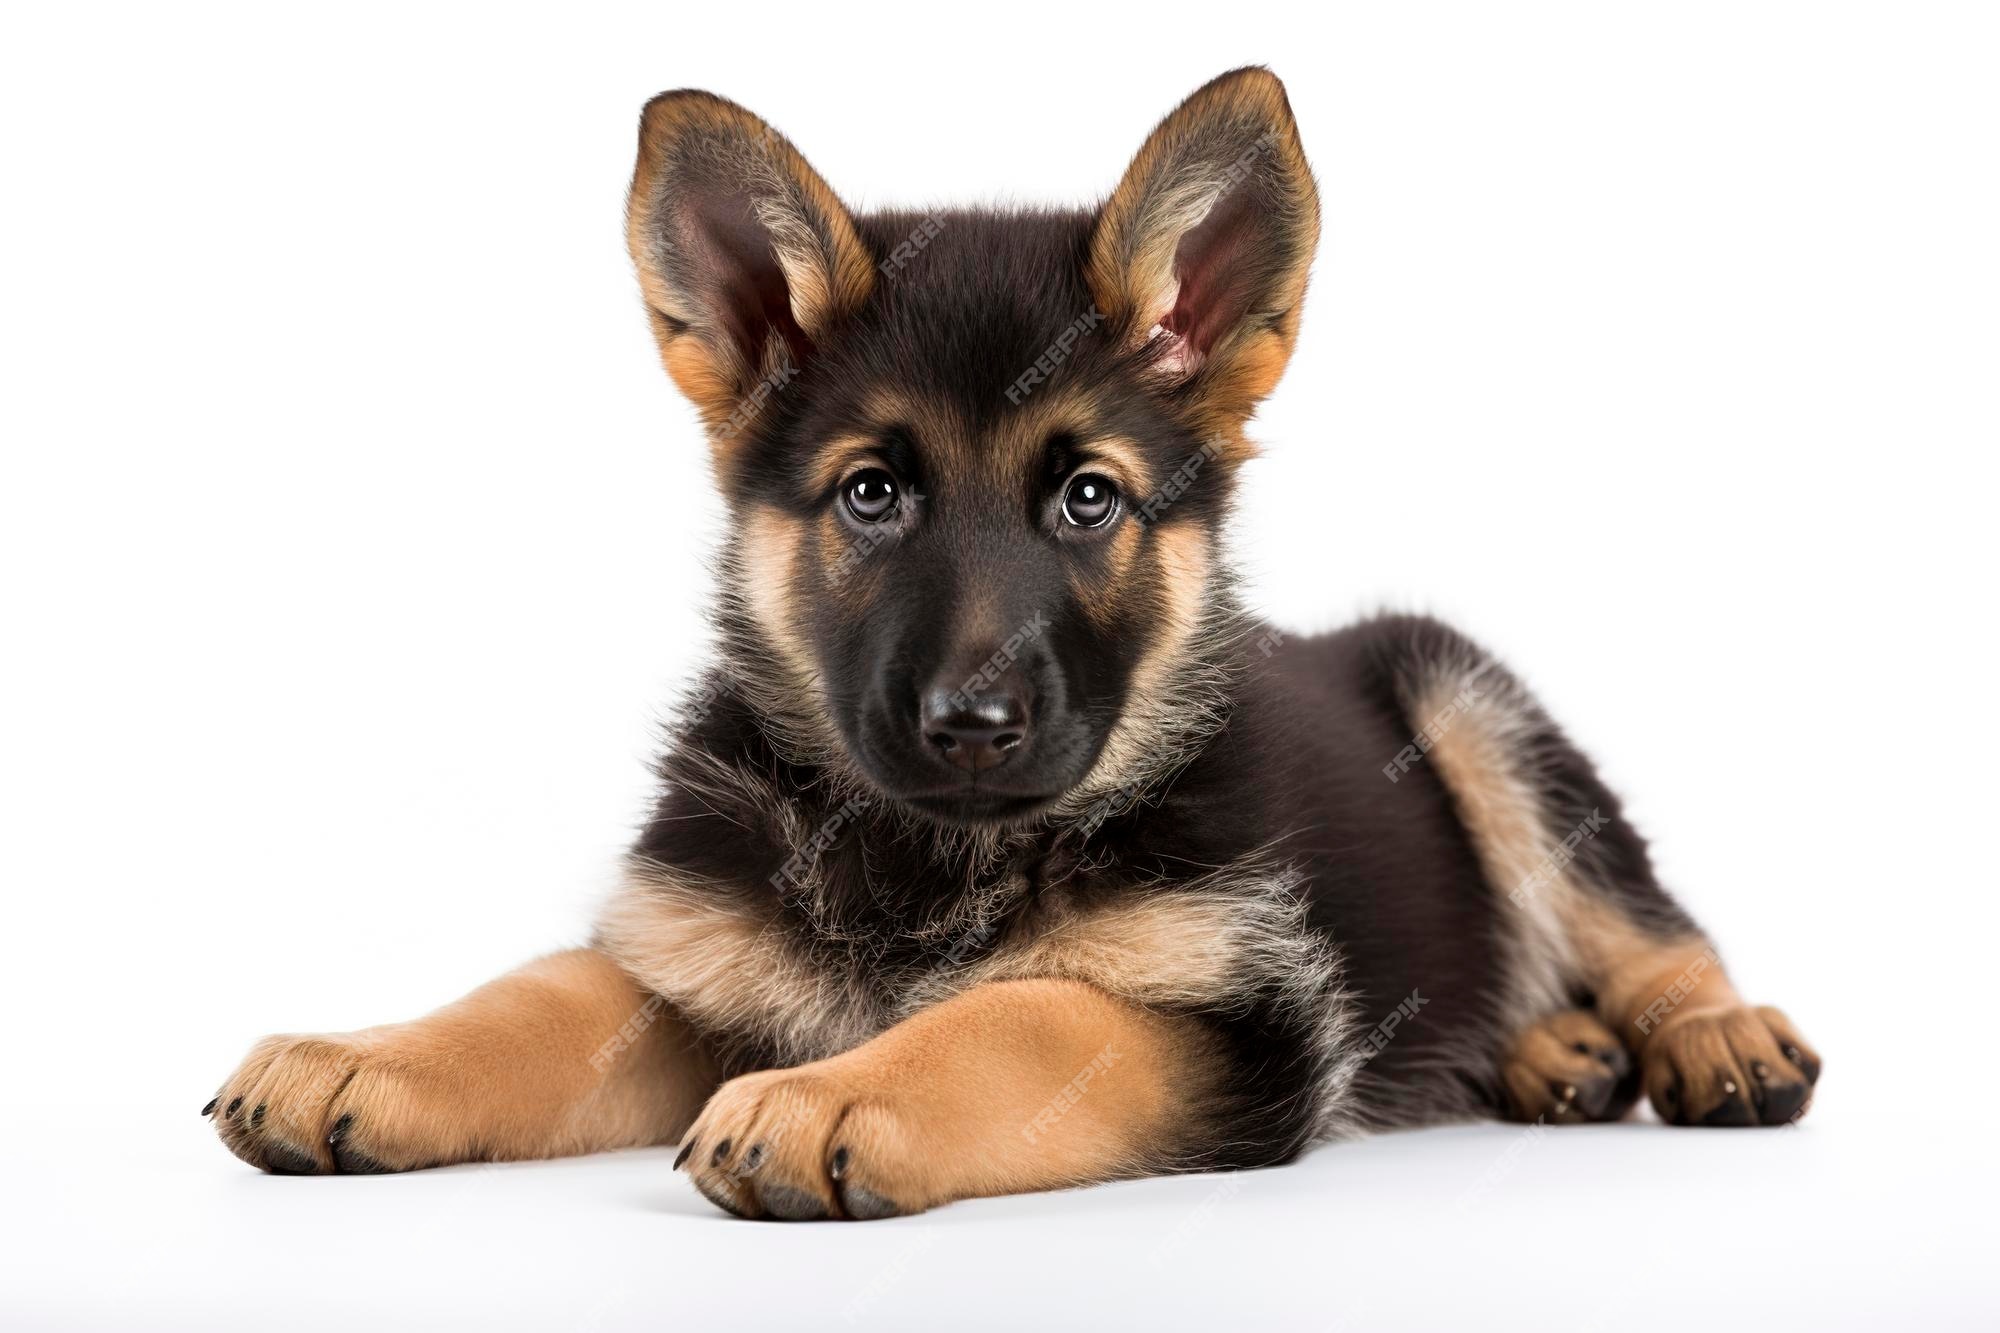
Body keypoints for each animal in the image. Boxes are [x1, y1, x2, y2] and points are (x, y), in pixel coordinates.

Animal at [211, 72, 1824, 1216]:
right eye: (872, 493)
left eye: (1088, 496)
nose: (972, 723)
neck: (926, 849)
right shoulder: (694, 968)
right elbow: (537, 995)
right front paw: (368, 1054)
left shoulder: (1238, 1023)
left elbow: (1026, 1016)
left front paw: (835, 1099)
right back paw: (1548, 1051)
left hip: (1468, 701)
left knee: (1643, 923)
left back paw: (1708, 1036)